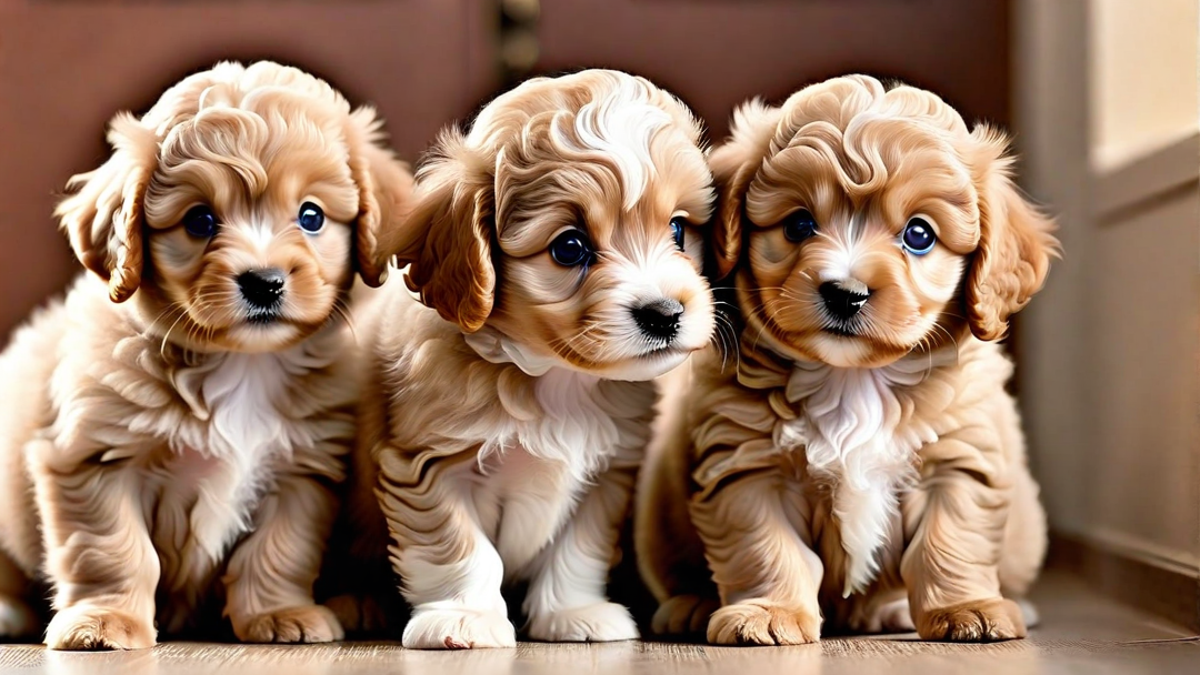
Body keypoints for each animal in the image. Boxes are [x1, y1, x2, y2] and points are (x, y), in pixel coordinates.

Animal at [0, 63, 415, 648]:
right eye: (199, 221)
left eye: (311, 216)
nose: (264, 282)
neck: (241, 363)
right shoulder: (92, 459)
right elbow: (113, 550)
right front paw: (106, 621)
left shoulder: (300, 469)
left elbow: (279, 548)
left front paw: (279, 613)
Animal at [350, 68, 715, 648]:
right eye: (570, 248)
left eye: (678, 229)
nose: (665, 313)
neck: (554, 380)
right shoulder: (428, 464)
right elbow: (462, 548)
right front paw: (464, 618)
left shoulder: (606, 473)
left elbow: (576, 549)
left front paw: (575, 613)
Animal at [638, 73, 1060, 638]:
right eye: (799, 225)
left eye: (919, 235)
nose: (846, 293)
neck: (852, 377)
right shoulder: (748, 466)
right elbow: (768, 548)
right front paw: (769, 612)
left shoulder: (957, 460)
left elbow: (950, 542)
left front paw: (966, 609)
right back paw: (691, 605)